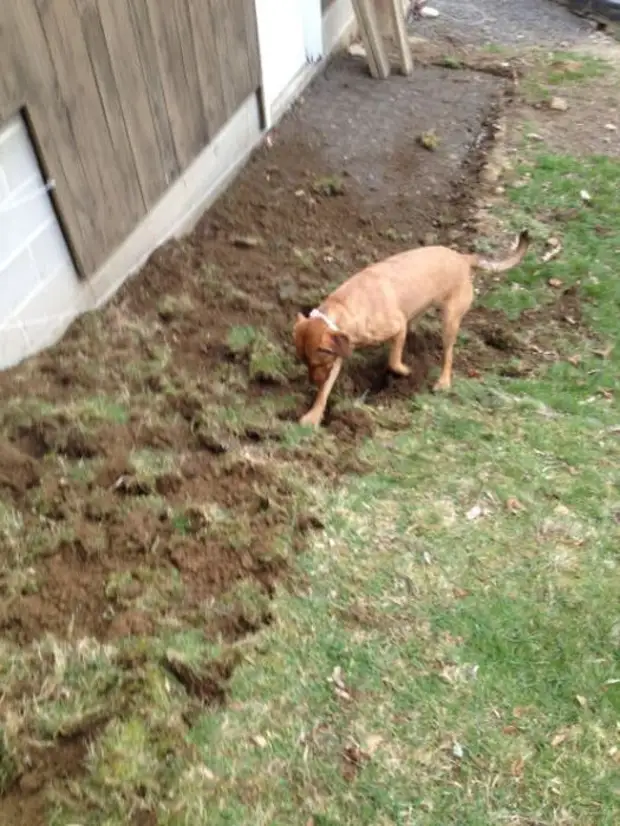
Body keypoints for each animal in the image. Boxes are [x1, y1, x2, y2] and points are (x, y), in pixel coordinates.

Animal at [294, 230, 528, 424]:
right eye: (305, 363)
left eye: (316, 363)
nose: (312, 383)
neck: (344, 308)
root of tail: (462, 258)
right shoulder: (338, 353)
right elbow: (325, 390)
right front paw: (313, 416)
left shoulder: (397, 326)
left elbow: (394, 360)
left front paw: (404, 371)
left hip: (450, 320)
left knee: (448, 353)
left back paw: (443, 381)